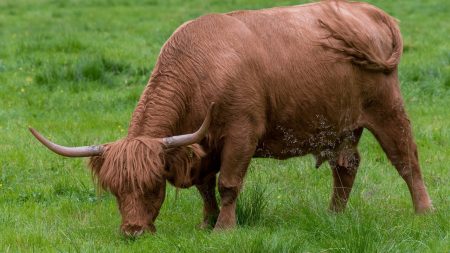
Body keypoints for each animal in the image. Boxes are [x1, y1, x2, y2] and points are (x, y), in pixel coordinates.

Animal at [29, 0, 432, 237]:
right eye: (115, 189)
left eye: (152, 186)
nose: (132, 231)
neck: (201, 71)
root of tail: (370, 11)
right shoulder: (201, 144)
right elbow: (205, 188)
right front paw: (205, 223)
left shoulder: (241, 134)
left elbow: (228, 184)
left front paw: (224, 229)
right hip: (339, 127)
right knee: (346, 167)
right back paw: (333, 215)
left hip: (386, 108)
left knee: (406, 159)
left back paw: (424, 212)